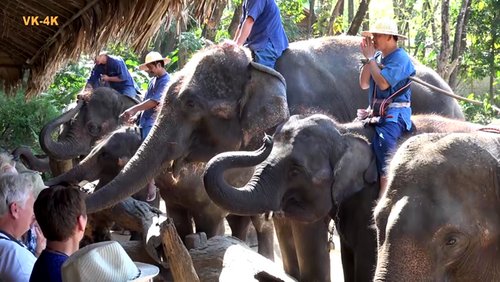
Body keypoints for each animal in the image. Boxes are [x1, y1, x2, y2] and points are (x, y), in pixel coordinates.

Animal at [204, 113, 484, 280]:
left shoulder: (373, 198)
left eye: (296, 170)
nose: (265, 139)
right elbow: (347, 258)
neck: (345, 132)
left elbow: (367, 259)